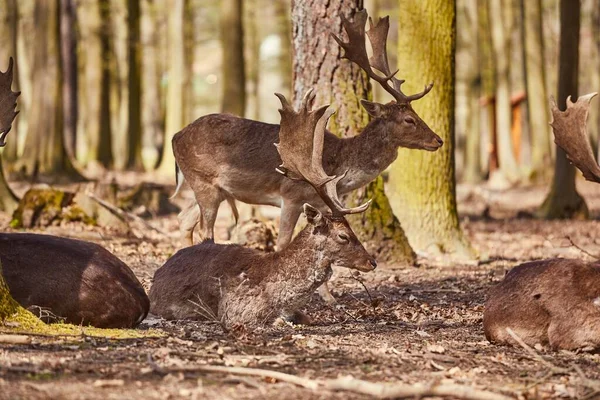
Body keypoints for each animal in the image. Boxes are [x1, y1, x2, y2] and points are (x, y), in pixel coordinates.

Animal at [171, 10, 442, 250]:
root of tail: (175, 137)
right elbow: (282, 244)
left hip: (208, 187)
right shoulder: (290, 195)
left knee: (184, 220)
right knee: (204, 229)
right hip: (203, 180)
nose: (438, 140)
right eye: (409, 119)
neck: (338, 168)